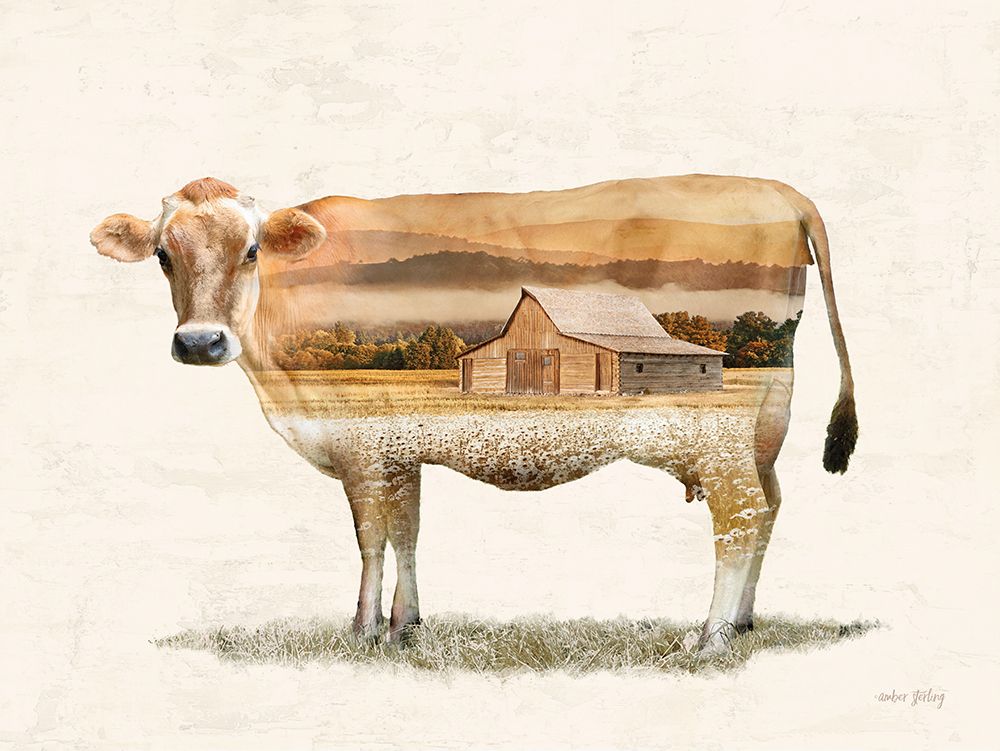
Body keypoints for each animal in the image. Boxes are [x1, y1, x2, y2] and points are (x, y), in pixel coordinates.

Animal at [90, 175, 857, 652]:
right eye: (162, 255)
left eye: (251, 251)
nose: (200, 342)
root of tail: (777, 189)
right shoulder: (399, 452)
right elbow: (406, 534)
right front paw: (406, 627)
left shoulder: (362, 450)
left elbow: (371, 539)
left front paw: (362, 632)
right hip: (763, 428)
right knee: (771, 505)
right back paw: (745, 622)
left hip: (718, 439)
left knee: (740, 517)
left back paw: (710, 637)